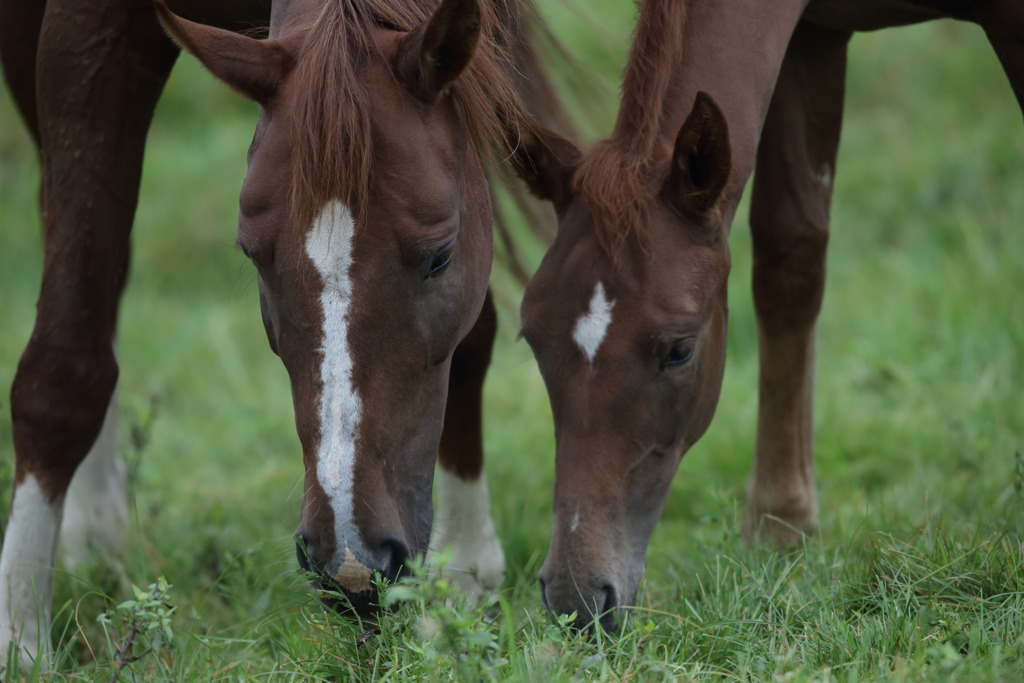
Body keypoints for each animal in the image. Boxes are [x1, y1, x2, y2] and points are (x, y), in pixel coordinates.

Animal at [0, 0, 557, 667]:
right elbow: (63, 361)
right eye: (252, 254)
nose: (352, 562)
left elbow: (474, 327)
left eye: (441, 257)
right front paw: (23, 638)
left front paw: (466, 575)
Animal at [520, 0, 1024, 630]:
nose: (576, 598)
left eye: (680, 349)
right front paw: (781, 528)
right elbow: (791, 260)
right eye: (532, 337)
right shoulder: (815, 35)